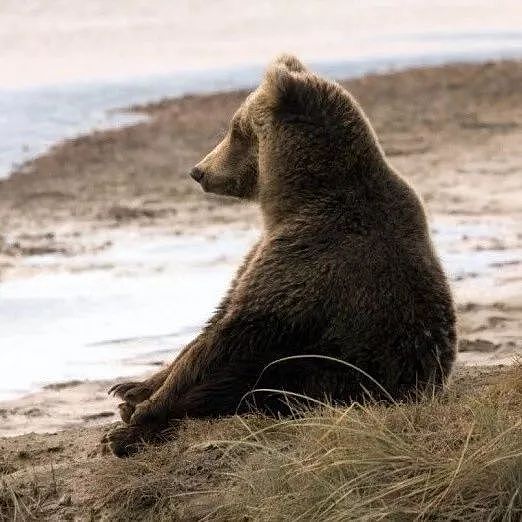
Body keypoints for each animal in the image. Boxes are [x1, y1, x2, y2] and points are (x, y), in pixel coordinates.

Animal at [102, 54, 456, 456]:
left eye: (236, 129)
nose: (198, 171)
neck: (295, 199)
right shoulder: (264, 252)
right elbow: (216, 319)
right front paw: (133, 387)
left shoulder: (306, 260)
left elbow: (230, 342)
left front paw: (139, 415)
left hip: (333, 373)